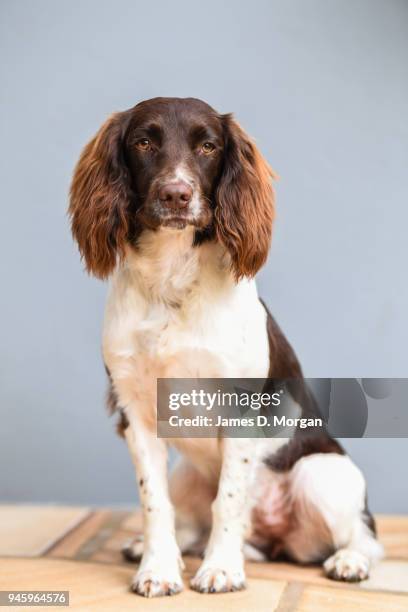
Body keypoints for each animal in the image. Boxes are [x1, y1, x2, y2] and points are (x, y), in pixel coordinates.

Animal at [67, 97, 382, 596]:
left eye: (208, 146)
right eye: (144, 142)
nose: (176, 194)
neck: (171, 283)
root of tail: (276, 543)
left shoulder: (242, 409)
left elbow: (229, 500)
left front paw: (221, 569)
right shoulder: (135, 412)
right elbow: (155, 502)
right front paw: (158, 568)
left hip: (321, 473)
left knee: (365, 535)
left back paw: (350, 560)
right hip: (187, 474)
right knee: (189, 519)